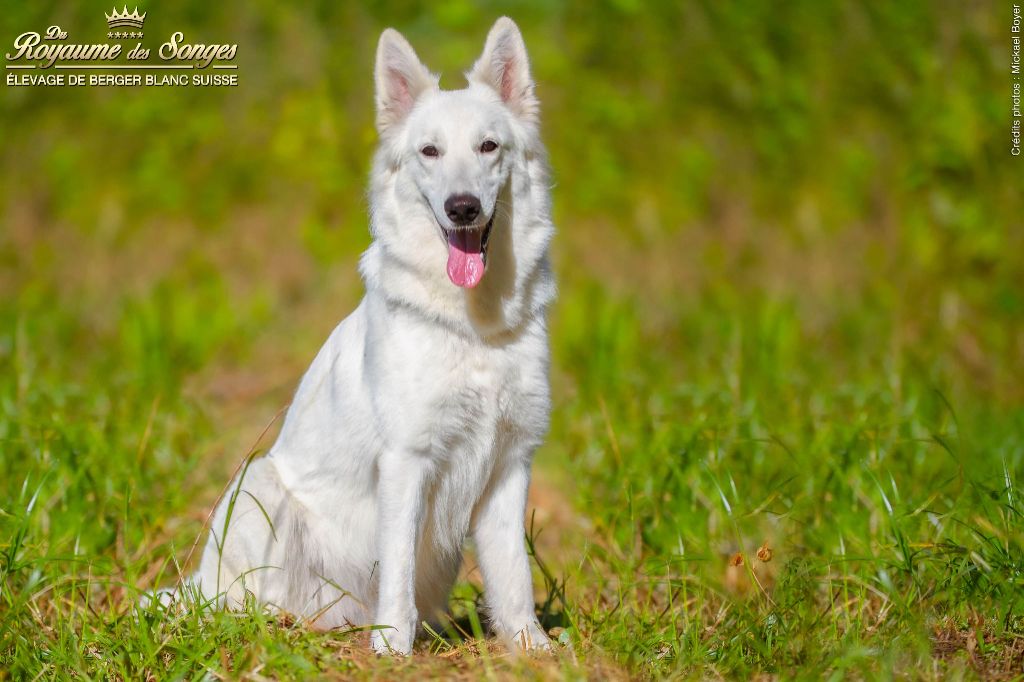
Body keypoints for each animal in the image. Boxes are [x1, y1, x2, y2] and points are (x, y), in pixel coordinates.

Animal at [158, 17, 557, 655]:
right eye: (429, 151)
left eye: (489, 147)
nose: (462, 208)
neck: (472, 328)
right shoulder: (406, 462)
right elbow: (397, 568)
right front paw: (393, 648)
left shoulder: (509, 465)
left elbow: (514, 575)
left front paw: (531, 648)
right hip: (257, 483)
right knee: (239, 604)